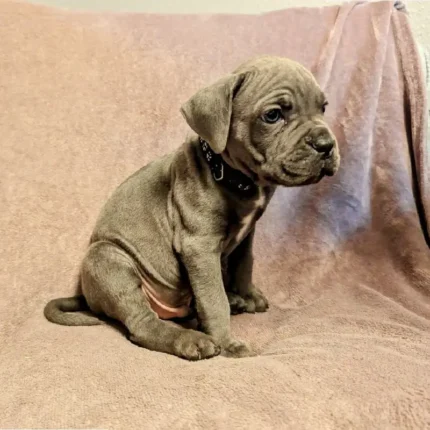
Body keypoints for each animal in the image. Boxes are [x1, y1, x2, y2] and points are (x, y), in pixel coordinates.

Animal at [43, 56, 340, 360]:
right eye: (273, 115)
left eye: (323, 108)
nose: (326, 145)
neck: (234, 176)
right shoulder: (199, 246)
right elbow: (213, 298)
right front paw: (227, 342)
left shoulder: (247, 234)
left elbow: (245, 264)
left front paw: (247, 295)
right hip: (107, 258)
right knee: (142, 325)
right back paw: (191, 340)